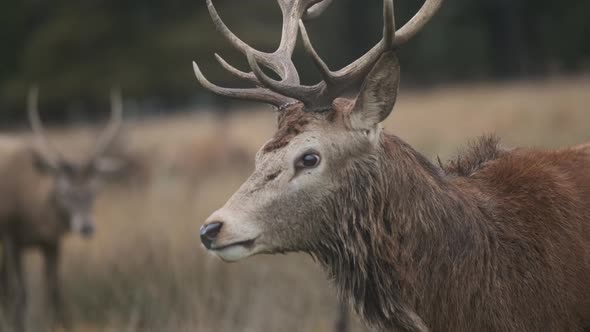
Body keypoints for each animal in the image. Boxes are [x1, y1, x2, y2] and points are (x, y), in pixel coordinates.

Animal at [0, 87, 123, 330]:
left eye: (95, 191)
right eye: (64, 192)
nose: (86, 227)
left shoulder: (52, 242)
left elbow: (54, 291)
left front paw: (60, 324)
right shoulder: (11, 238)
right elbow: (21, 292)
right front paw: (19, 325)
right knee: (8, 286)